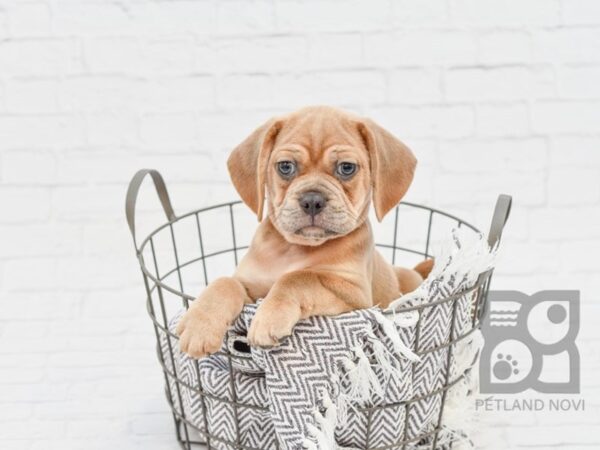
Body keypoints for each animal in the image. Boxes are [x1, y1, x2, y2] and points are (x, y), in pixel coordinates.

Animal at [176, 106, 434, 358]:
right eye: (286, 167)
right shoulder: (250, 287)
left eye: (347, 168)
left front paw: (270, 316)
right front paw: (200, 324)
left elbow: (298, 278)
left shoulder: (353, 294)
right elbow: (225, 283)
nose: (312, 200)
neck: (295, 248)